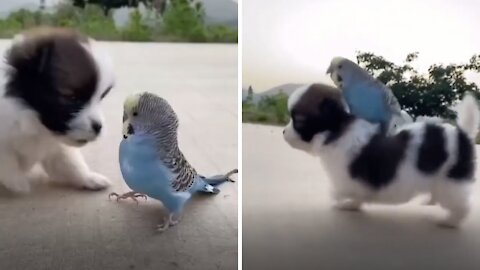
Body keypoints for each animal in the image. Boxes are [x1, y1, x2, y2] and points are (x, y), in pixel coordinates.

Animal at [0, 27, 114, 193]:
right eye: (72, 98)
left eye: (101, 97)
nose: (98, 127)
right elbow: (6, 160)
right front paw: (17, 181)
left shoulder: (57, 146)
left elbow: (70, 163)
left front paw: (89, 177)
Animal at [284, 84, 478, 228]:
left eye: (298, 121)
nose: (283, 132)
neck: (337, 132)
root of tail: (462, 135)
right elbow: (354, 196)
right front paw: (351, 205)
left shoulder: (348, 179)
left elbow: (339, 191)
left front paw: (341, 201)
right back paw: (431, 201)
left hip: (450, 181)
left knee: (461, 206)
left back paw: (450, 221)